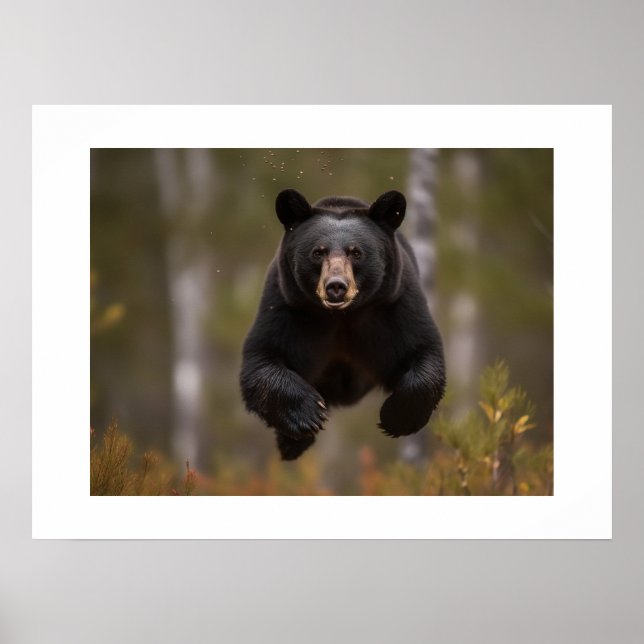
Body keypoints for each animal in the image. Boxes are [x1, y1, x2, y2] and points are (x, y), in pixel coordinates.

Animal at [239, 188, 446, 461]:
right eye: (318, 252)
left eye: (356, 252)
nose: (336, 286)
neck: (342, 315)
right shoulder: (286, 305)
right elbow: (262, 358)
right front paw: (308, 415)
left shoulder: (395, 305)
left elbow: (423, 351)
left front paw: (395, 417)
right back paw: (292, 444)